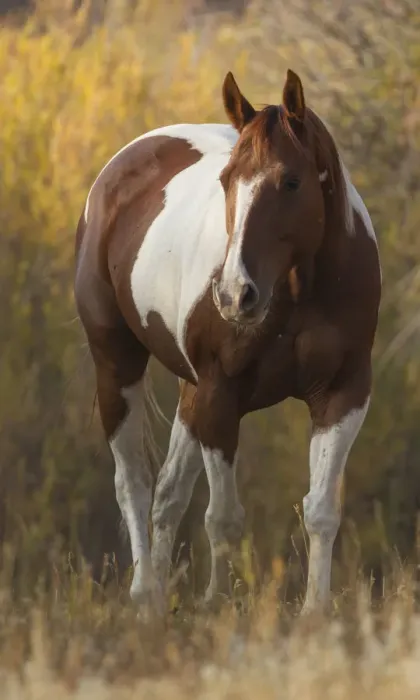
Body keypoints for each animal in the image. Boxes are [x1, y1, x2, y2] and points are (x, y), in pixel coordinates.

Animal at [74, 69, 381, 617]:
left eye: (291, 181)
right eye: (226, 182)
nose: (236, 294)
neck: (300, 289)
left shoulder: (344, 395)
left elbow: (321, 508)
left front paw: (315, 612)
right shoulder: (222, 396)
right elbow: (222, 516)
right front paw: (218, 604)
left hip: (190, 392)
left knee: (168, 492)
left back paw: (160, 600)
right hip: (118, 366)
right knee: (133, 482)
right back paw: (145, 594)